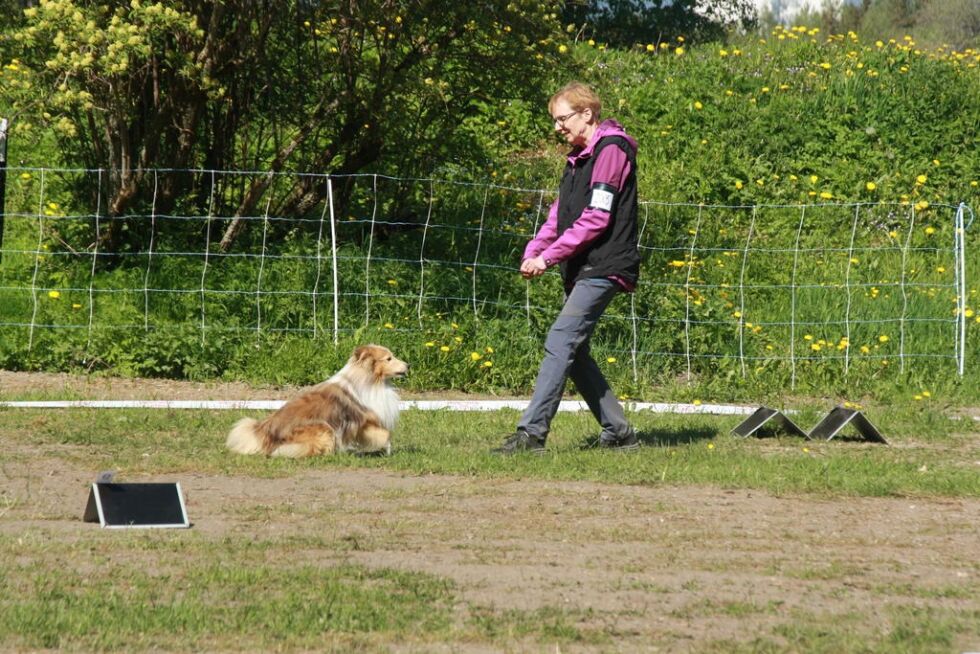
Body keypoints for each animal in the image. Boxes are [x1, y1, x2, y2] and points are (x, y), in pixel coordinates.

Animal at [228, 346, 408, 458]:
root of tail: (262, 432)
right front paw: (389, 450)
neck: (369, 379)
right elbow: (386, 434)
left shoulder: (359, 426)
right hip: (324, 428)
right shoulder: (364, 420)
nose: (409, 365)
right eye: (389, 358)